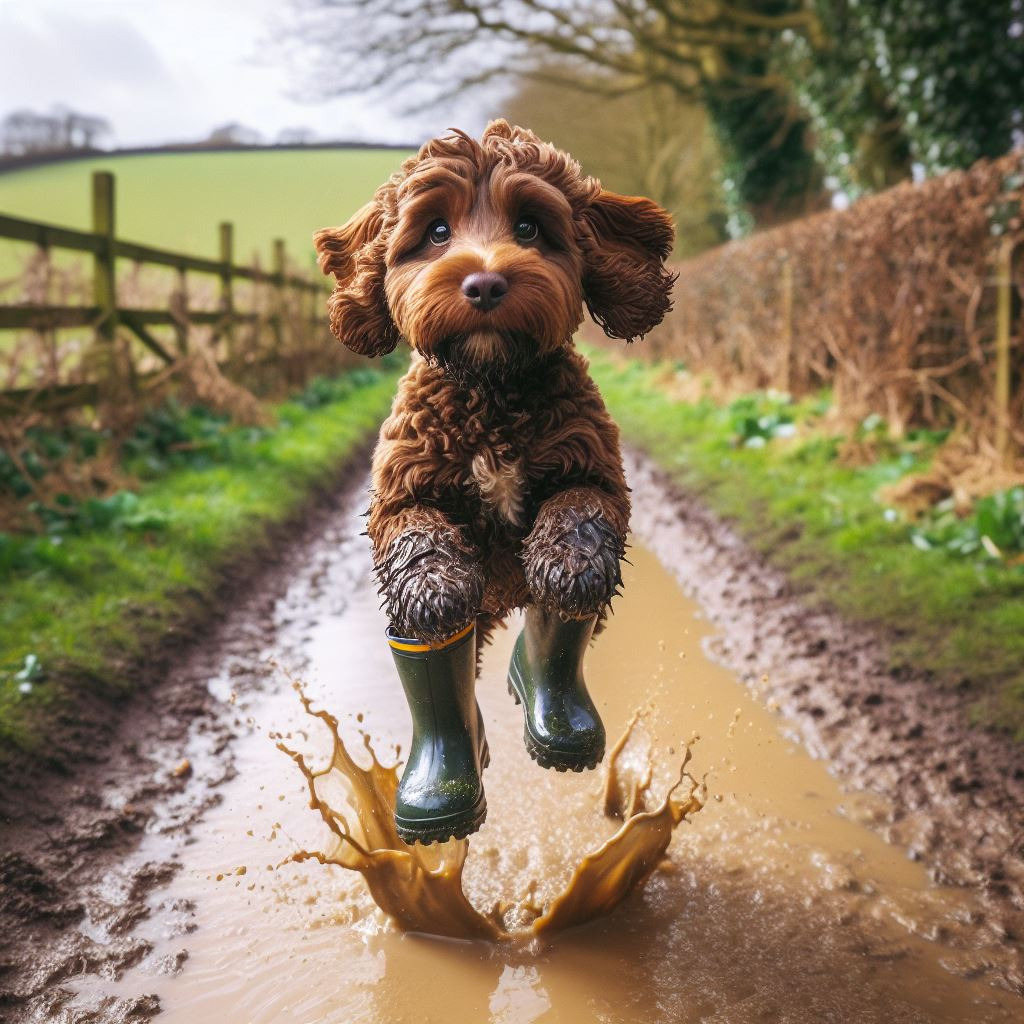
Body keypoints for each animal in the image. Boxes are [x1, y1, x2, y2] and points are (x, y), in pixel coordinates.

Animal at [315, 116, 675, 651]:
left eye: (528, 227)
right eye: (437, 231)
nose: (484, 284)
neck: (489, 395)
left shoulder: (596, 469)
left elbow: (579, 505)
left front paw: (571, 566)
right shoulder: (401, 488)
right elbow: (416, 529)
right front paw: (432, 587)